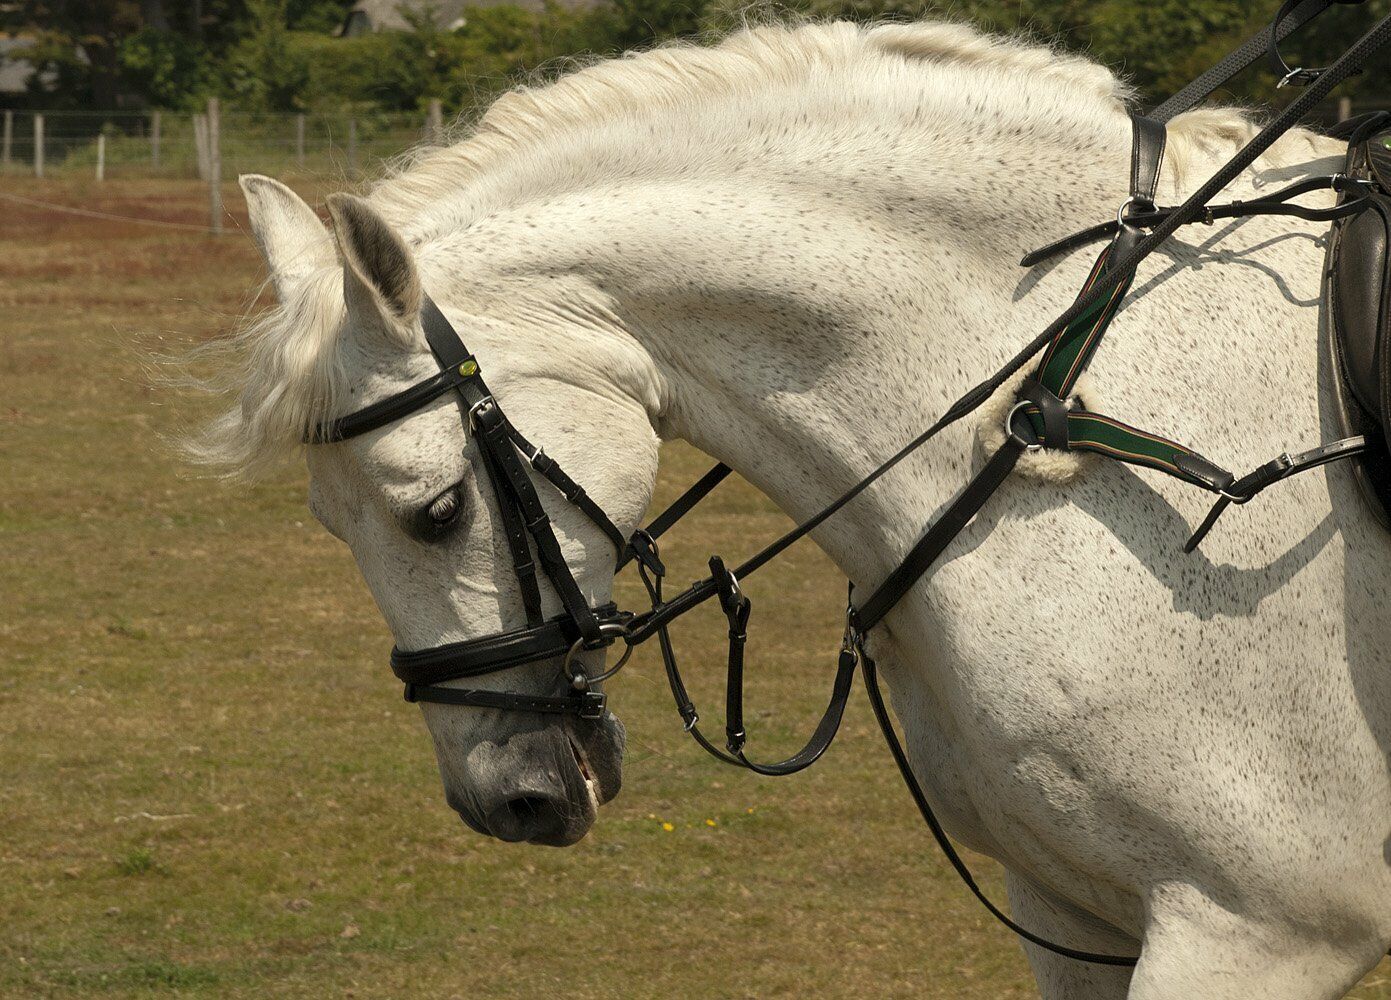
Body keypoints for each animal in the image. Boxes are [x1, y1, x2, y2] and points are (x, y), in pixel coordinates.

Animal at [190, 19, 1391, 999]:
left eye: (436, 510)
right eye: (327, 524)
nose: (505, 802)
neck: (1046, 407)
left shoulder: (1252, 932)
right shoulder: (1071, 912)